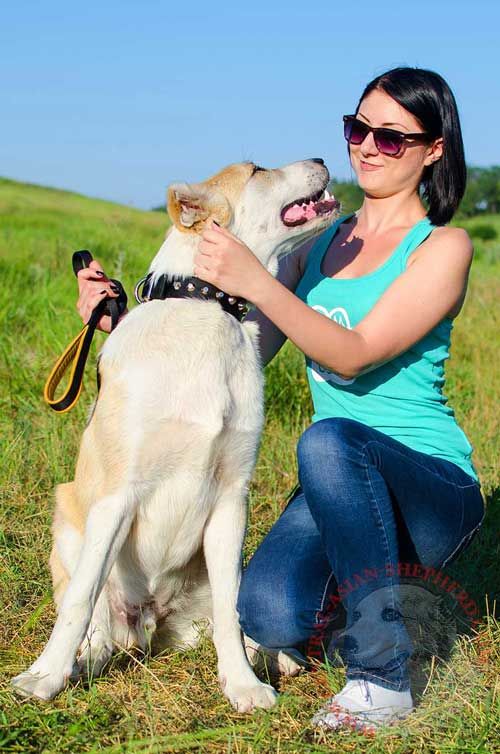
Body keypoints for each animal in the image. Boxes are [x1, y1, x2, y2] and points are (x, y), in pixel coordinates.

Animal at [12, 156, 340, 708]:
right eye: (257, 169)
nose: (321, 158)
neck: (205, 308)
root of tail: (150, 621)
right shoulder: (117, 497)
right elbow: (79, 603)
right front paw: (45, 677)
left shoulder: (232, 497)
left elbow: (233, 609)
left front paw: (243, 686)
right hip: (70, 520)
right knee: (95, 624)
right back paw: (81, 663)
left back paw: (275, 655)